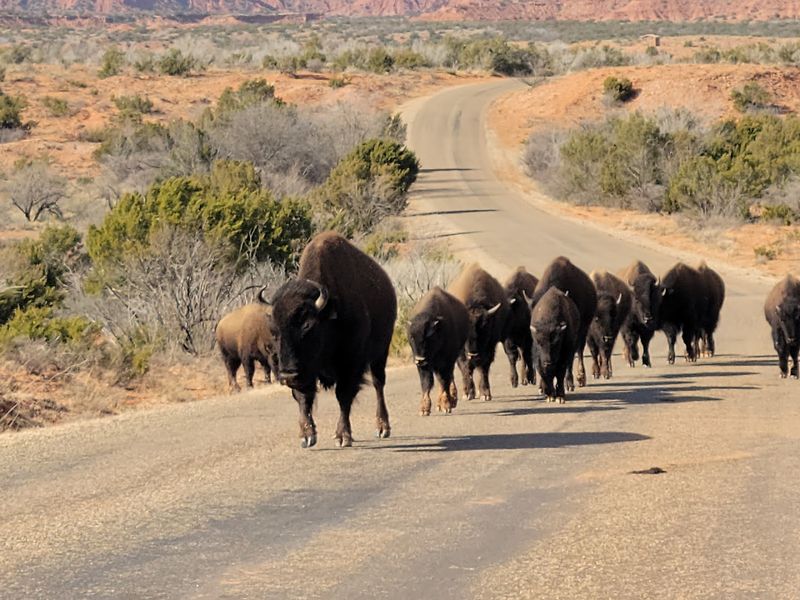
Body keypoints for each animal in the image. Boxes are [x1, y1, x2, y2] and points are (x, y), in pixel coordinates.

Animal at [269, 232, 396, 448]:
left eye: (308, 325)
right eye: (274, 330)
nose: (287, 375)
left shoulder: (350, 364)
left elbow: (343, 396)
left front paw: (342, 436)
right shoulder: (306, 371)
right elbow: (303, 397)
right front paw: (306, 436)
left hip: (381, 352)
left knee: (379, 384)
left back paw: (382, 427)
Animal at [407, 286, 469, 415]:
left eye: (428, 336)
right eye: (411, 337)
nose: (419, 360)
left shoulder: (446, 361)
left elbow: (444, 381)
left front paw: (446, 406)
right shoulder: (425, 366)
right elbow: (427, 383)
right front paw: (424, 409)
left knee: (448, 377)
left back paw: (449, 401)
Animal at [448, 263, 510, 401]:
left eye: (485, 326)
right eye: (464, 327)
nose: (473, 353)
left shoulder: (490, 347)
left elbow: (483, 368)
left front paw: (485, 394)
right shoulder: (461, 352)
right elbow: (466, 368)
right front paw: (468, 393)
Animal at [531, 257, 597, 388]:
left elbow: (569, 358)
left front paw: (569, 382)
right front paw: (542, 385)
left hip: (583, 330)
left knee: (579, 351)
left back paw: (580, 378)